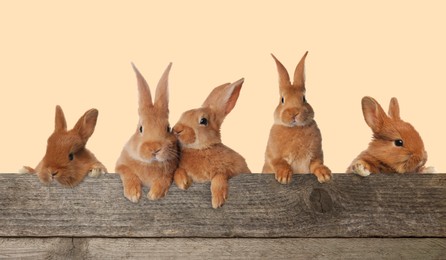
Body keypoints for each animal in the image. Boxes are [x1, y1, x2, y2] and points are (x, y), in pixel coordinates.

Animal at [116, 63, 180, 203]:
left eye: (168, 128)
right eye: (140, 128)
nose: (154, 148)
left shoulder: (170, 172)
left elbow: (165, 179)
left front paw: (154, 194)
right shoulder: (120, 165)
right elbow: (128, 173)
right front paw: (133, 194)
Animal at [172, 77, 251, 209]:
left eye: (203, 121)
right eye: (183, 114)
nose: (177, 129)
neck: (202, 148)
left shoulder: (235, 169)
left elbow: (220, 175)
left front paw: (217, 201)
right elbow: (178, 171)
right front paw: (183, 182)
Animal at [262, 51, 332, 184]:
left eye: (304, 98)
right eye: (282, 99)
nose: (294, 113)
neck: (294, 128)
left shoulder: (315, 156)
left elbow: (316, 165)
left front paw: (325, 175)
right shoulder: (273, 157)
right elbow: (279, 163)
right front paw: (284, 176)